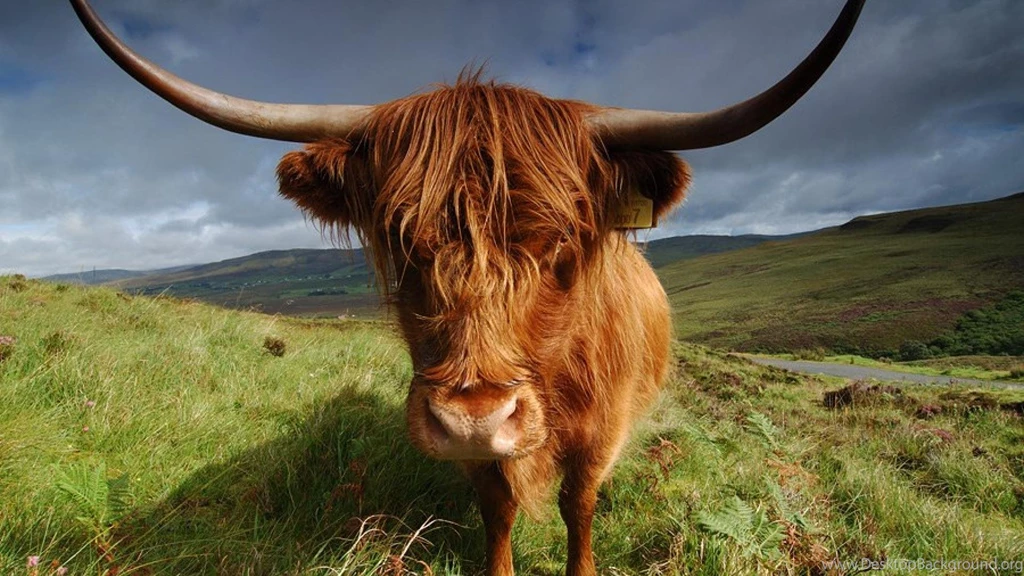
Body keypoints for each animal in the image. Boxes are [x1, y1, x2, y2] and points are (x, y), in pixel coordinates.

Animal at [71, 1, 865, 574]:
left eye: (560, 240)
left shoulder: (601, 430)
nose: (474, 419)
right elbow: (496, 508)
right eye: (398, 236)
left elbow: (580, 505)